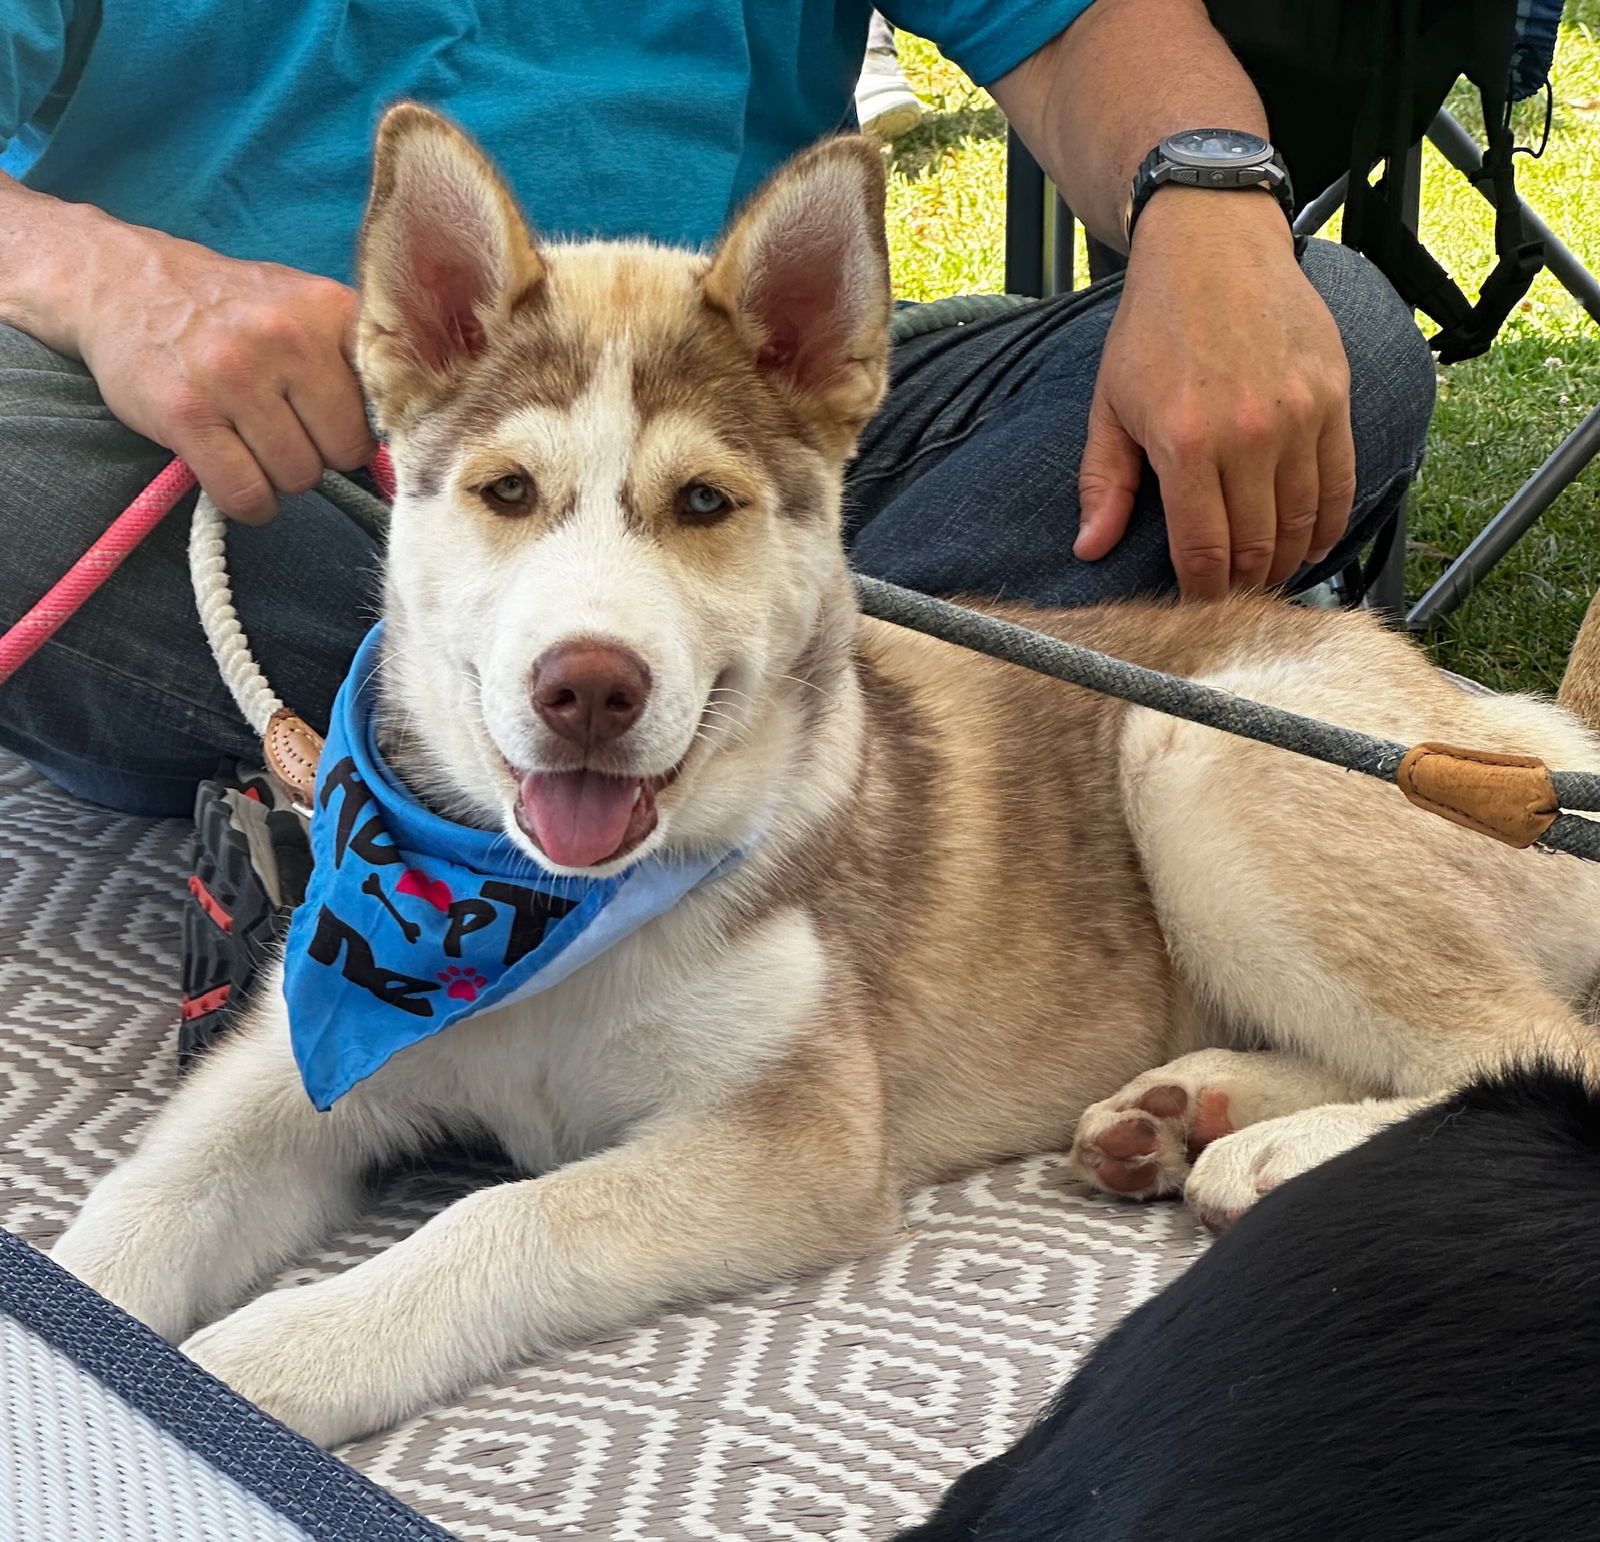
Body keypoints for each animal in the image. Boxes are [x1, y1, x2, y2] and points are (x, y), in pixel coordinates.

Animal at [53, 108, 1600, 1446]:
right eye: (507, 493)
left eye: (703, 503)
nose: (588, 686)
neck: (520, 909)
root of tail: (1486, 712)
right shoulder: (293, 1061)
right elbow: (127, 1218)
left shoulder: (795, 1138)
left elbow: (499, 1219)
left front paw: (268, 1358)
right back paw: (1184, 1112)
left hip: (1204, 756)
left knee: (1537, 1053)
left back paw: (1266, 1151)